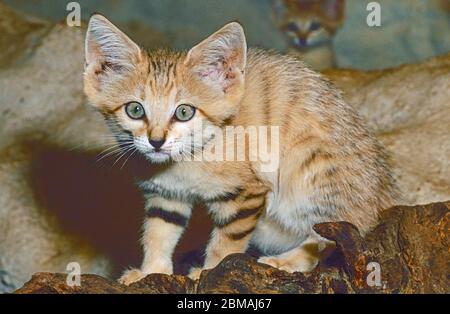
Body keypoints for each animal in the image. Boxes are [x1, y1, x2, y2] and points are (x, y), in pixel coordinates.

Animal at [82, 14, 396, 284]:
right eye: (135, 110)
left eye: (184, 112)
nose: (156, 141)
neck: (186, 159)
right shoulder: (166, 194)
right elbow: (158, 233)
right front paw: (151, 271)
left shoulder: (246, 194)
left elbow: (226, 244)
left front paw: (208, 271)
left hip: (312, 170)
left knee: (333, 233)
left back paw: (285, 261)